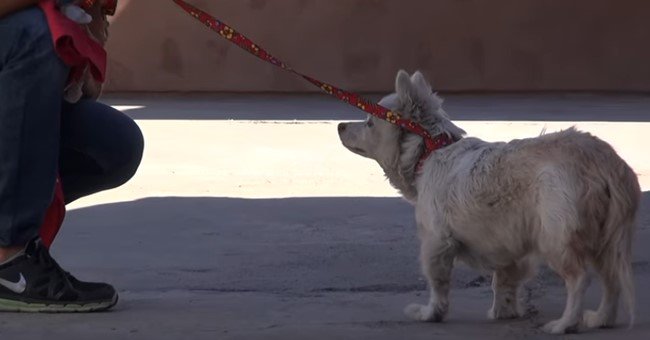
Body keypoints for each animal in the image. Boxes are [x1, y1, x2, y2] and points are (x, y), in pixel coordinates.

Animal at [336, 70, 640, 334]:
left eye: (369, 123)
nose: (340, 125)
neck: (429, 150)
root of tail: (604, 162)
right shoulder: (509, 246)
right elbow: (503, 281)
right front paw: (504, 311)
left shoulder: (436, 242)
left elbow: (437, 284)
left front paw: (430, 313)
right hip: (605, 237)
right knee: (611, 280)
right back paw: (601, 319)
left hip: (557, 236)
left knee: (579, 279)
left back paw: (565, 324)